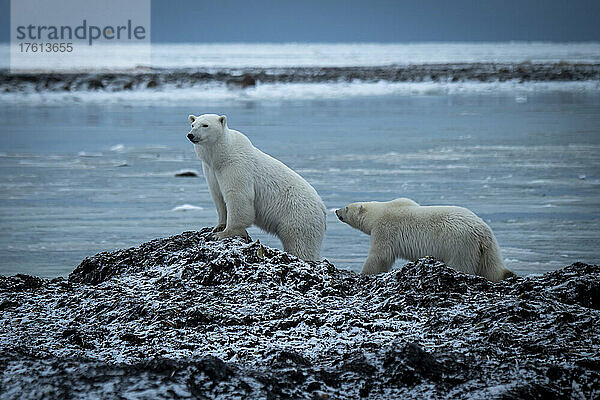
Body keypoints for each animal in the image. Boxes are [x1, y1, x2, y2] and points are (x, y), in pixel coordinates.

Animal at [190, 114, 326, 260]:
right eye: (193, 124)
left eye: (205, 125)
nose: (190, 135)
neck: (220, 155)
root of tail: (322, 208)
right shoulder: (211, 171)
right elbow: (218, 197)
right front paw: (218, 227)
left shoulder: (236, 165)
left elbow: (238, 195)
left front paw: (224, 233)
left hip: (299, 216)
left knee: (300, 244)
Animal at [336, 198, 512, 282]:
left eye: (347, 207)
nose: (336, 210)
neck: (379, 212)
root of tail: (481, 231)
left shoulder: (385, 229)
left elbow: (380, 256)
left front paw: (363, 273)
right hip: (488, 246)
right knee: (491, 266)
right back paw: (505, 275)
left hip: (460, 244)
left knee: (460, 264)